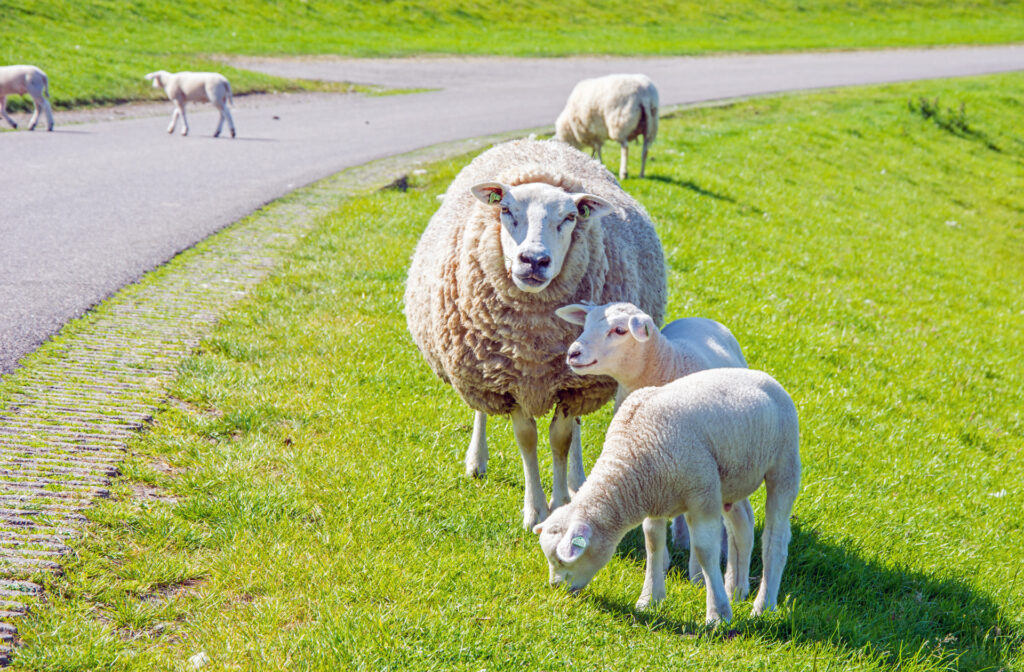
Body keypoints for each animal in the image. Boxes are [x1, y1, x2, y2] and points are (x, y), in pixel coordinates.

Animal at [404, 138, 667, 530]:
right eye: (506, 210)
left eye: (570, 217)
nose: (534, 260)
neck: (534, 345)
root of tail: (536, 142)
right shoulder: (504, 382)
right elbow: (526, 439)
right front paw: (534, 510)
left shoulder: (574, 385)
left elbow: (561, 439)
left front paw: (560, 504)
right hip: (476, 368)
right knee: (480, 412)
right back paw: (477, 460)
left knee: (574, 428)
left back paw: (576, 480)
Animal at [533, 367, 800, 623]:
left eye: (561, 561)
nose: (556, 588)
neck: (629, 454)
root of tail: (763, 375)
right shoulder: (657, 497)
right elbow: (653, 543)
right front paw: (650, 599)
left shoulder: (701, 497)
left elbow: (705, 551)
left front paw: (718, 614)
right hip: (730, 480)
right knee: (743, 527)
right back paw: (735, 590)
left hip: (784, 465)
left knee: (775, 539)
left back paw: (763, 606)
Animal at [555, 301, 748, 577]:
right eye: (586, 323)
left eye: (620, 330)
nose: (573, 353)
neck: (666, 364)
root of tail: (701, 318)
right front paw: (663, 560)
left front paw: (696, 573)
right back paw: (680, 537)